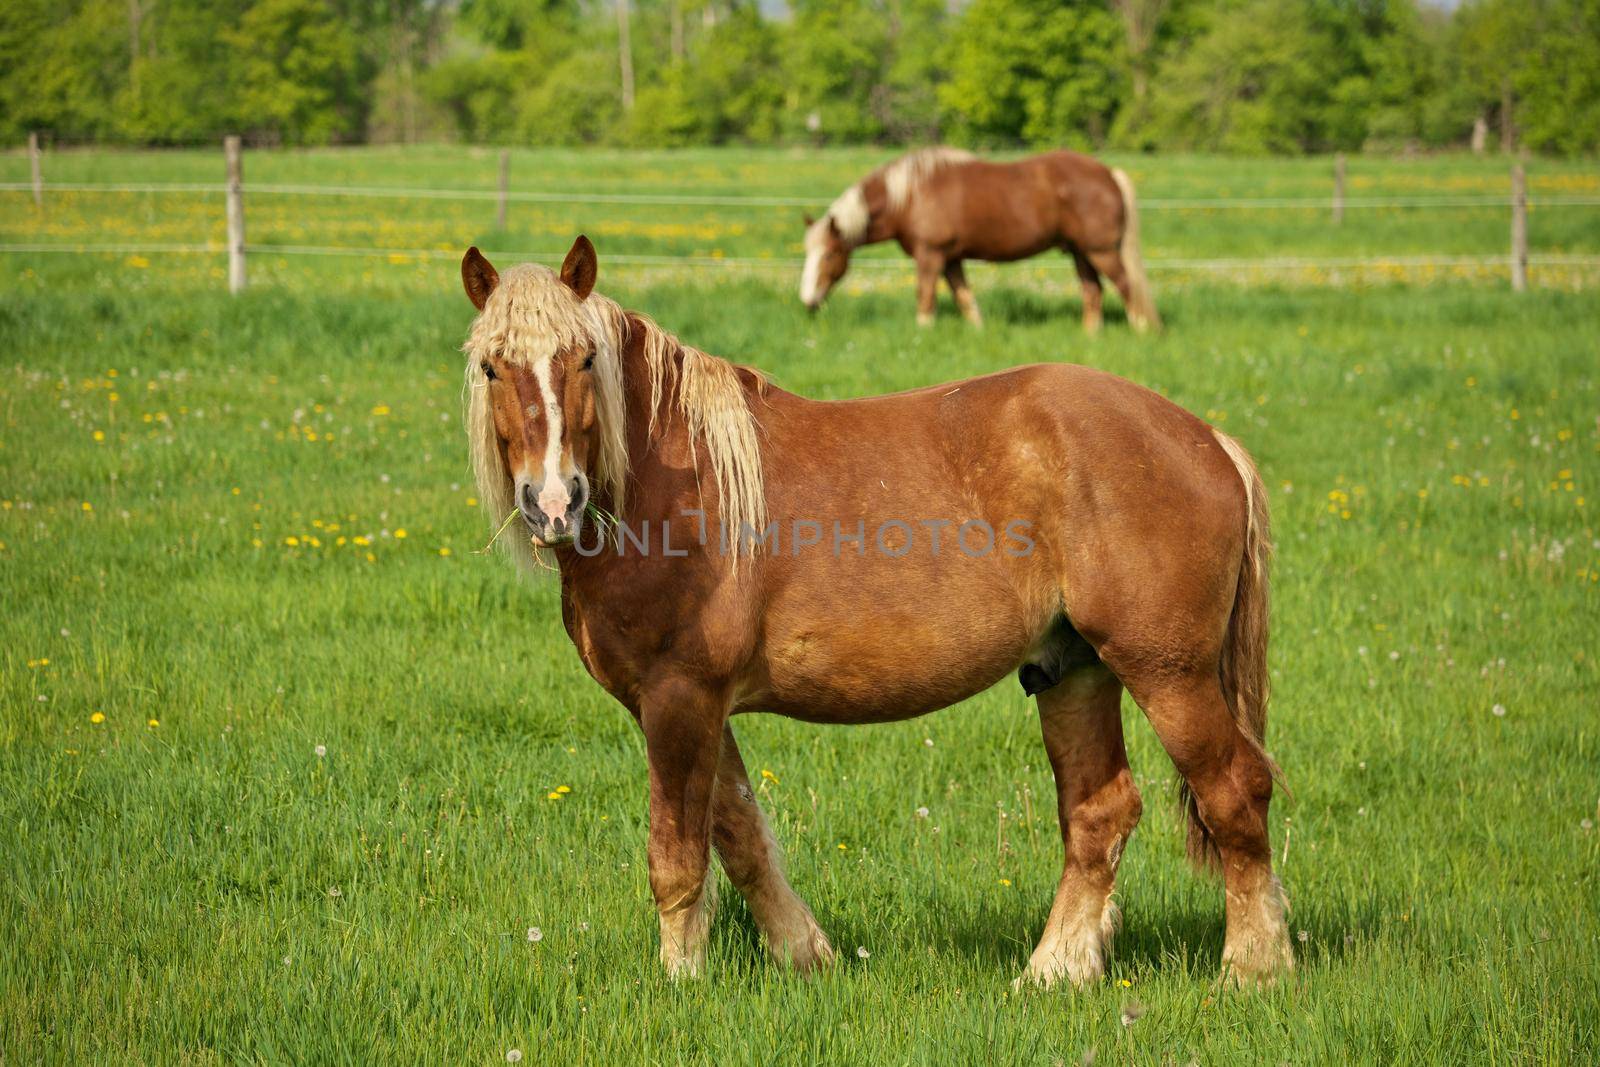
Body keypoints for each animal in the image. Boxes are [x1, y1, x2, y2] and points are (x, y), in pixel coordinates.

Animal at [460, 238, 1286, 991]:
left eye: (584, 359)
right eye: (492, 367)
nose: (553, 502)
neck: (674, 481)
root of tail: (1207, 439)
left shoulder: (677, 698)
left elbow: (678, 856)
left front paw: (680, 981)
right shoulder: (700, 706)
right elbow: (741, 835)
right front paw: (805, 956)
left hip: (1168, 674)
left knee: (1235, 792)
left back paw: (1252, 970)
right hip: (1073, 670)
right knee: (1100, 814)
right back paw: (1052, 971)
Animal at [800, 146, 1164, 329]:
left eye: (829, 255)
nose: (808, 301)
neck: (910, 196)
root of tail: (1108, 173)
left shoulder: (931, 255)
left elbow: (925, 295)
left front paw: (923, 332)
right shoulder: (951, 259)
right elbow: (964, 297)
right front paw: (977, 331)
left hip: (1101, 251)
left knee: (1126, 286)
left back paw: (1140, 331)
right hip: (1080, 252)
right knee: (1093, 292)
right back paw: (1090, 337)